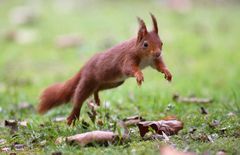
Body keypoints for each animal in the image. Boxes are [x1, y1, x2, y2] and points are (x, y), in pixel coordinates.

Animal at [37, 13, 172, 126]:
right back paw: (72, 117)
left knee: (97, 89)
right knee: (78, 98)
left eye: (161, 43)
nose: (158, 53)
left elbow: (159, 66)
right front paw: (139, 75)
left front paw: (167, 72)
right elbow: (129, 68)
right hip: (88, 80)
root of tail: (85, 66)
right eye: (145, 44)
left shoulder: (153, 61)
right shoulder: (127, 58)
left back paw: (96, 99)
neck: (144, 56)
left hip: (113, 82)